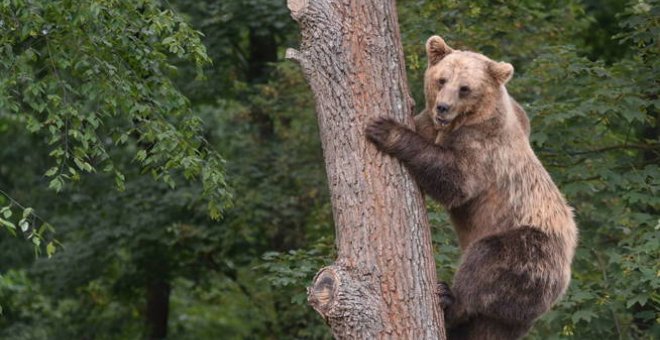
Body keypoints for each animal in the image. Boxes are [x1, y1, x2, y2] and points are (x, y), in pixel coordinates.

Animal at [366, 35, 576, 338]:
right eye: (442, 79)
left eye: (464, 88)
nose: (443, 107)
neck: (463, 121)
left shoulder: (483, 148)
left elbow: (454, 181)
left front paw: (385, 128)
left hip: (532, 249)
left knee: (485, 263)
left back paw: (448, 299)